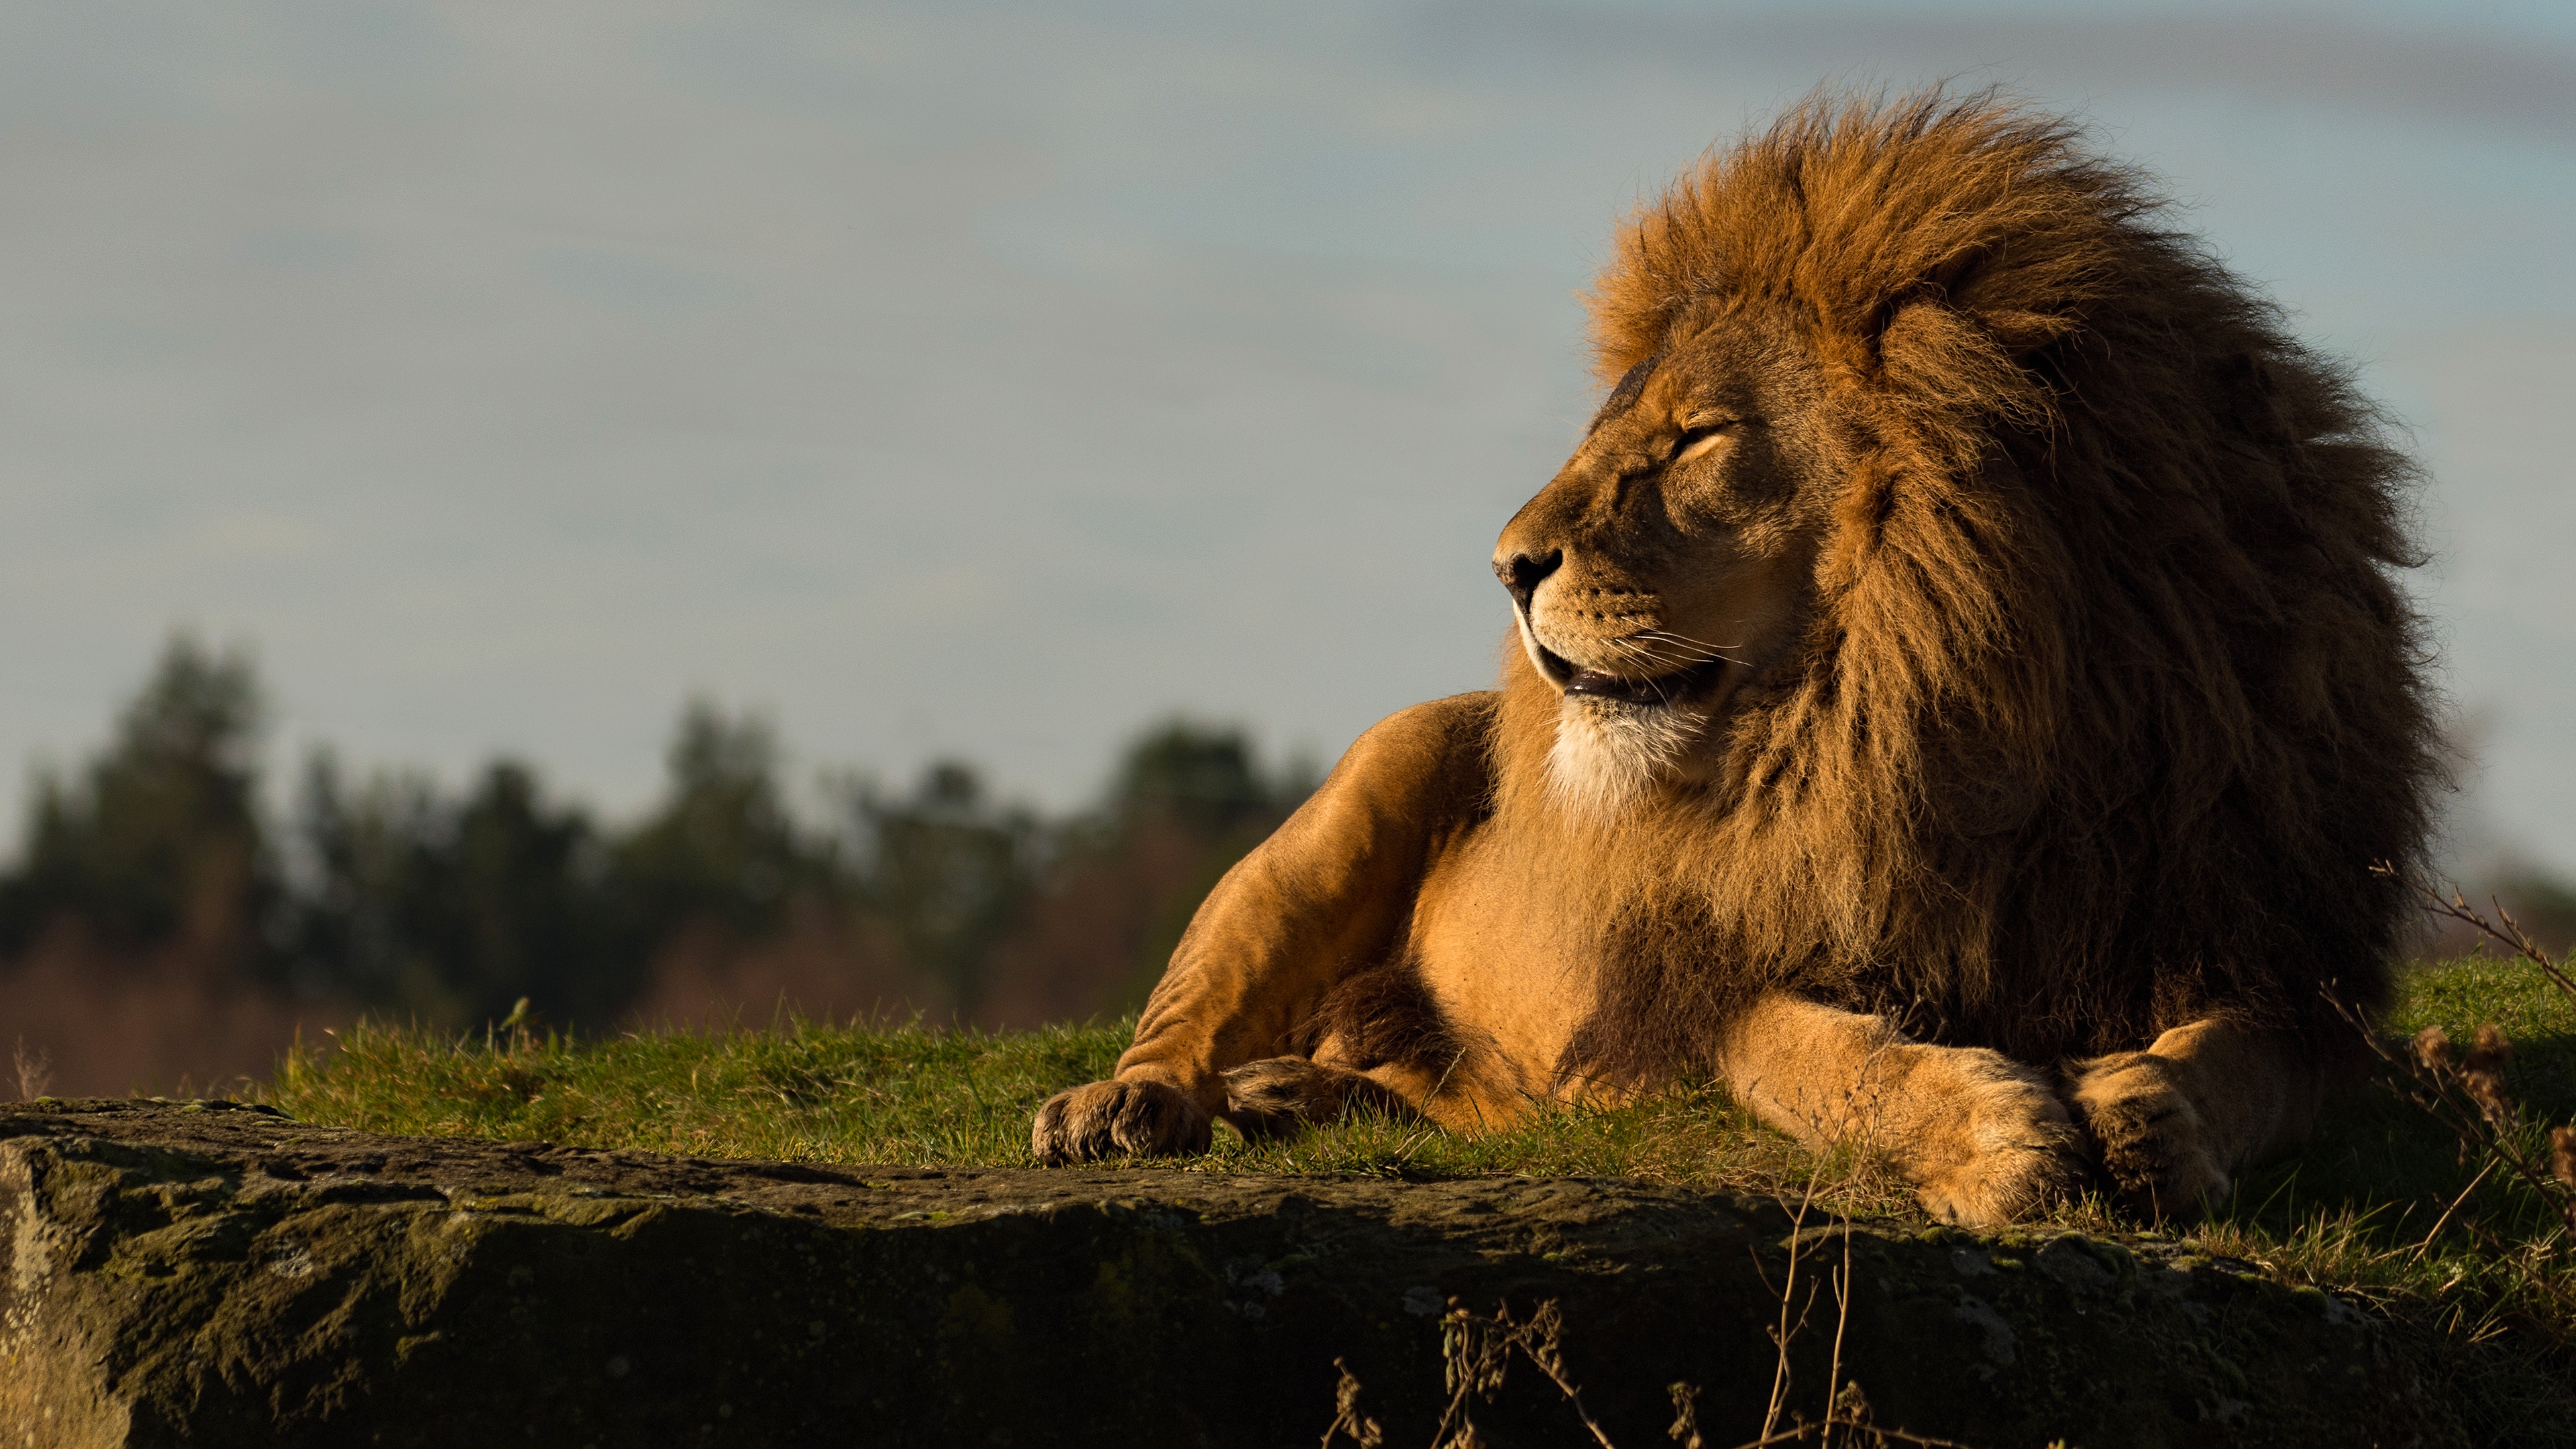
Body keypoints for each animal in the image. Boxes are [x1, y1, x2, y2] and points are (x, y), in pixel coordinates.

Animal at [1031, 91, 2439, 1225]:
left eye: (1694, 439)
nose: (1505, 565)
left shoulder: (2276, 956)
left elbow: (2242, 1064)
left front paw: (2151, 1122)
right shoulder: (1705, 986)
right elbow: (1817, 1057)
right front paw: (1995, 1139)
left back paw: (1298, 1097)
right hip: (1344, 813)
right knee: (1189, 1013)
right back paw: (1129, 1107)